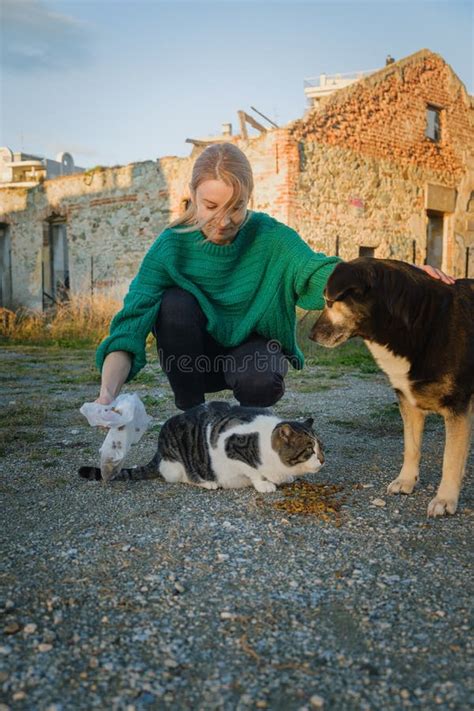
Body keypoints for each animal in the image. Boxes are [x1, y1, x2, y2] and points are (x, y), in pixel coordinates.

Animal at [79, 404, 324, 492]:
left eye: (321, 448)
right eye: (309, 450)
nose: (322, 460)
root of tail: (158, 453)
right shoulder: (229, 446)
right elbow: (253, 470)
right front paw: (264, 484)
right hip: (178, 464)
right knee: (185, 477)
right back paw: (208, 483)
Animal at [312, 256, 474, 516]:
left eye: (329, 301)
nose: (310, 335)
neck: (419, 321)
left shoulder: (457, 406)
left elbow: (450, 458)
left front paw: (445, 498)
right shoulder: (408, 402)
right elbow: (411, 447)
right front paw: (406, 481)